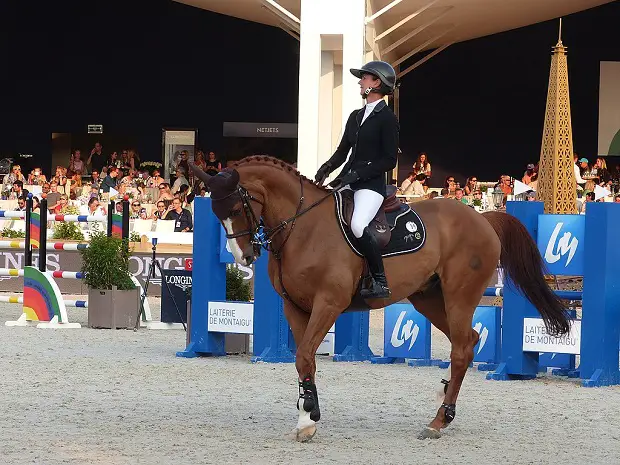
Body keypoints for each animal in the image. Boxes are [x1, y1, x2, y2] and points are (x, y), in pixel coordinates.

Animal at [190, 157, 572, 442]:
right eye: (216, 212)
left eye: (237, 206)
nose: (242, 257)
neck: (302, 229)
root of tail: (483, 217)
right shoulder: (295, 307)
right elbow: (305, 361)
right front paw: (306, 420)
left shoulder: (328, 303)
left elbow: (304, 356)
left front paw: (309, 417)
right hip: (427, 298)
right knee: (468, 340)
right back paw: (442, 402)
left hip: (460, 295)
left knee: (462, 348)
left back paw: (439, 421)